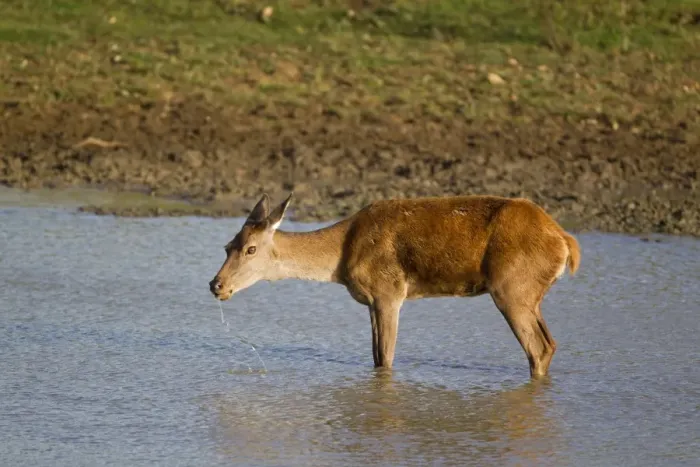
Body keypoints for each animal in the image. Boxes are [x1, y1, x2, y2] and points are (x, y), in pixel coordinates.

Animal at [209, 193, 581, 378]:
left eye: (251, 248)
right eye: (227, 245)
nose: (216, 285)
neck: (341, 259)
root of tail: (566, 242)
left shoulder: (388, 290)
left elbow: (386, 359)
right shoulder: (373, 300)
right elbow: (376, 358)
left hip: (510, 288)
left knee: (538, 348)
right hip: (529, 294)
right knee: (549, 344)